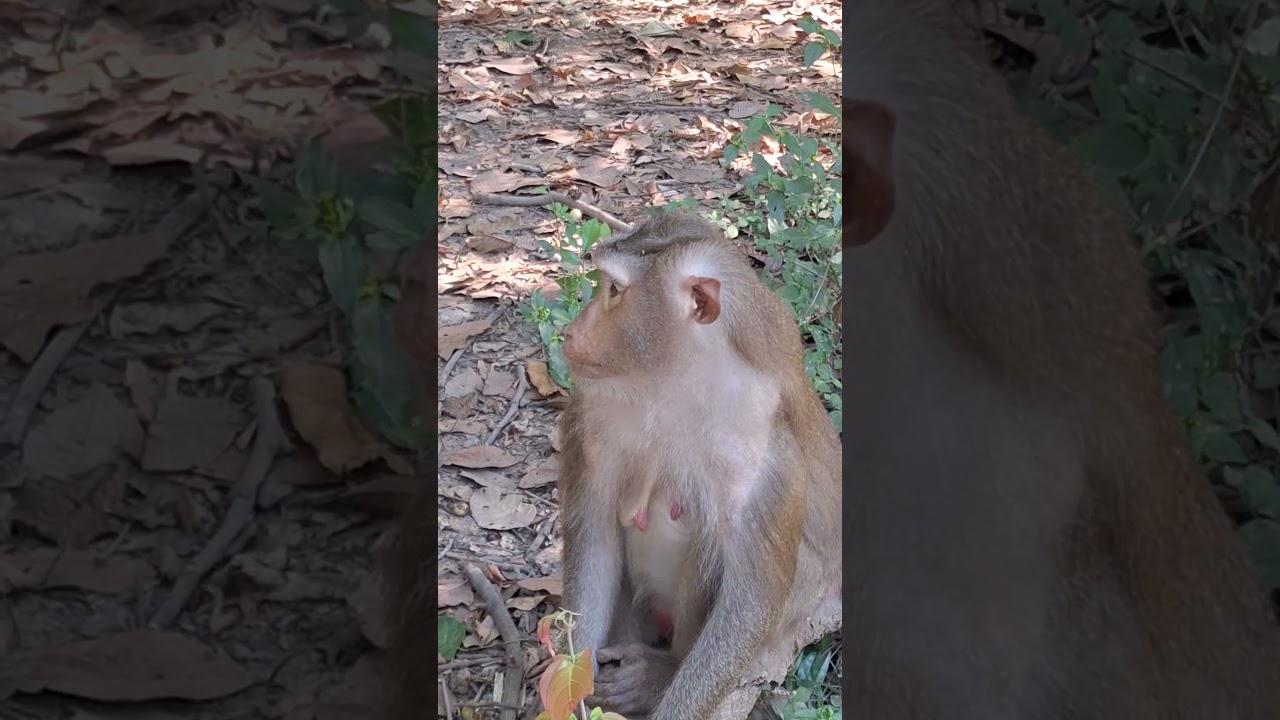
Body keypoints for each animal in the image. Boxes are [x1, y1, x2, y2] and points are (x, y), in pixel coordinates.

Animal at [555, 212, 842, 720]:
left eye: (613, 290)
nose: (573, 330)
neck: (676, 378)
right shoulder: (593, 408)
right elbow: (594, 533)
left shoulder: (763, 452)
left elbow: (750, 601)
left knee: (712, 542)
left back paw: (657, 676)